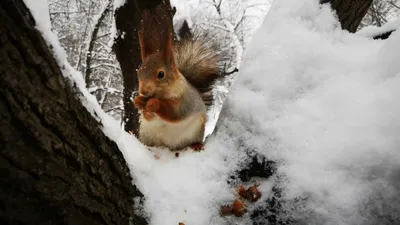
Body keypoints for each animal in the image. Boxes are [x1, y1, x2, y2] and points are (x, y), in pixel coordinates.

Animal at [134, 7, 222, 151]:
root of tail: (170, 147)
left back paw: (196, 145)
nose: (143, 92)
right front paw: (138, 102)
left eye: (161, 74)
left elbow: (174, 113)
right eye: (139, 72)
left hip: (196, 131)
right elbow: (147, 117)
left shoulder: (184, 101)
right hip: (147, 134)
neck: (161, 94)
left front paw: (154, 104)